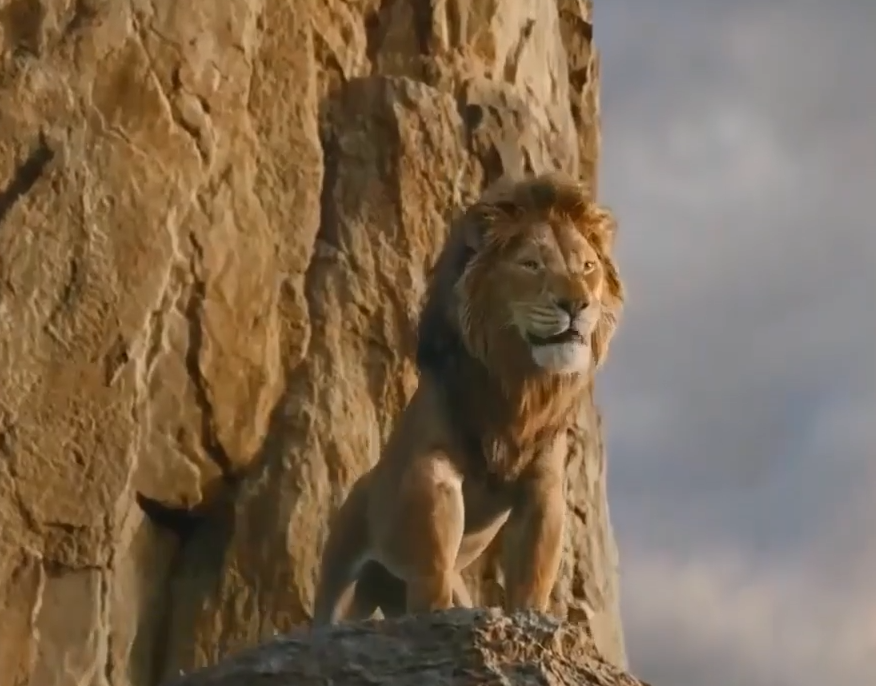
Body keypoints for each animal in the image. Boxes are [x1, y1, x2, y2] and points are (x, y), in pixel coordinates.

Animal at [311, 170, 625, 625]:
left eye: (587, 267)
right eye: (531, 264)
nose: (577, 305)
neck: (519, 388)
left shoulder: (542, 482)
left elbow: (534, 568)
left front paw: (530, 617)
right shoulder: (432, 463)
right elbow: (435, 549)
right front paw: (435, 612)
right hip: (341, 565)